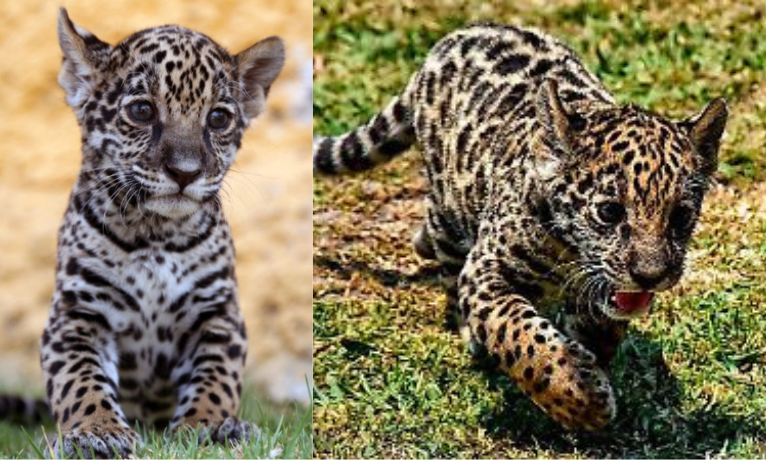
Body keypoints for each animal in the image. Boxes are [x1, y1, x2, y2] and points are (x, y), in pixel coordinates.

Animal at [0, 8, 285, 458]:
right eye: (141, 111)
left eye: (218, 118)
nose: (185, 172)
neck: (155, 235)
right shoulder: (78, 313)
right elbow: (80, 380)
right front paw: (97, 431)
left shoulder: (217, 313)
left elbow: (216, 379)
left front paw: (209, 426)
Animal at [313, 23, 727, 431]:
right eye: (609, 212)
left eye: (681, 216)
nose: (650, 276)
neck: (568, 252)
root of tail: (450, 40)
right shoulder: (487, 271)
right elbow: (521, 335)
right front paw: (581, 400)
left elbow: (597, 332)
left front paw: (592, 369)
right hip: (448, 197)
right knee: (443, 238)